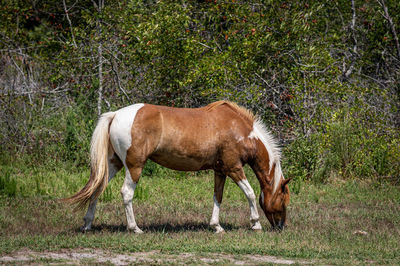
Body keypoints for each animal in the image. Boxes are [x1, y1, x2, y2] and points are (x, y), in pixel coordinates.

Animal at [65, 101, 290, 234]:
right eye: (283, 199)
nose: (281, 227)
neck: (241, 130)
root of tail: (116, 115)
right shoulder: (234, 169)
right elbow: (250, 193)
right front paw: (256, 223)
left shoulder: (220, 171)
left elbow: (218, 197)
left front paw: (216, 226)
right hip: (134, 166)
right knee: (126, 193)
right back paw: (135, 228)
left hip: (114, 164)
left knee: (97, 188)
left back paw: (87, 224)